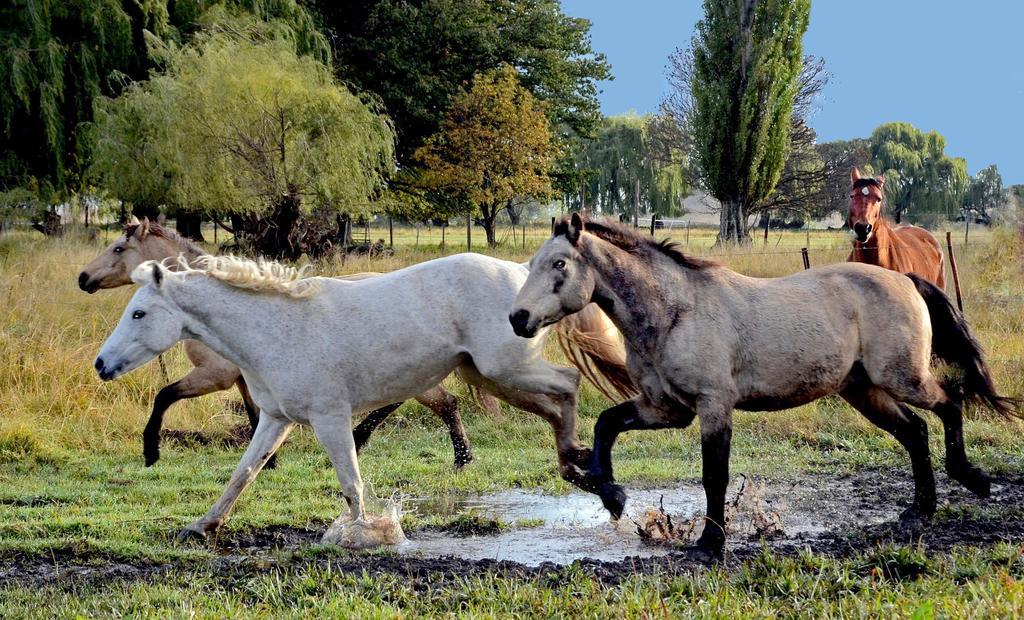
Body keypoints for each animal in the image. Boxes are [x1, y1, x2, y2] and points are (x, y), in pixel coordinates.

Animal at [99, 251, 598, 545]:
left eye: (138, 313)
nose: (101, 365)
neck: (274, 330)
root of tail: (522, 274)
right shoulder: (276, 419)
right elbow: (243, 473)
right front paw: (202, 525)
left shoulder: (330, 418)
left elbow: (350, 482)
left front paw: (363, 535)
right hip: (494, 376)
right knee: (555, 403)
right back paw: (577, 468)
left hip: (506, 370)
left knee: (569, 382)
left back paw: (582, 464)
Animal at [512, 214, 1015, 557]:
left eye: (559, 263)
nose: (518, 318)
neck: (675, 312)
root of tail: (906, 280)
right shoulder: (666, 408)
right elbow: (607, 423)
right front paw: (609, 493)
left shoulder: (713, 405)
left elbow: (714, 475)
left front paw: (709, 544)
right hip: (863, 390)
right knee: (915, 431)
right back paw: (919, 511)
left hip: (902, 377)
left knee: (950, 403)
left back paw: (970, 479)